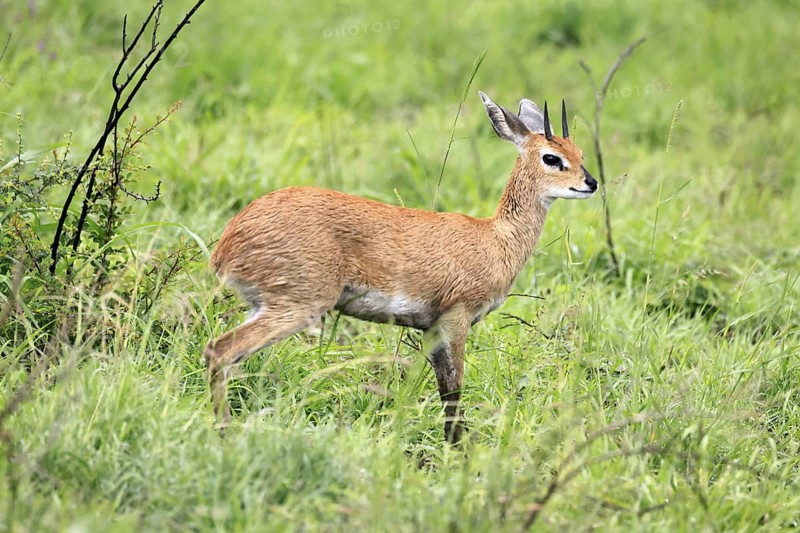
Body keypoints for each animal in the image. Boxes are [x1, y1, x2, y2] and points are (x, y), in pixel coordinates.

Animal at [205, 92, 597, 443]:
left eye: (579, 153)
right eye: (551, 157)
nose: (590, 183)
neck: (495, 237)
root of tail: (228, 242)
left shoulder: (432, 329)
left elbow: (444, 391)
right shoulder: (456, 319)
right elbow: (455, 391)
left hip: (264, 306)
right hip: (298, 307)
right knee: (219, 350)